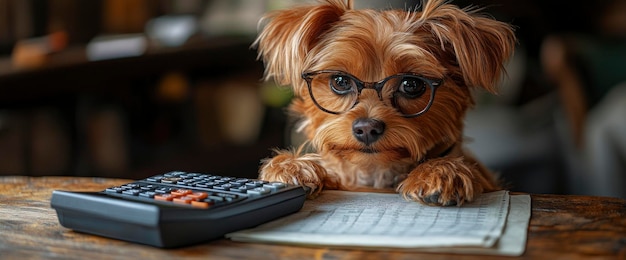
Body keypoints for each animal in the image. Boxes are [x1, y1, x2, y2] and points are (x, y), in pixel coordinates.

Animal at [251, 0, 516, 207]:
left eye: (411, 84)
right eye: (340, 81)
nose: (367, 128)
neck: (375, 173)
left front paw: (440, 171)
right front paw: (292, 168)